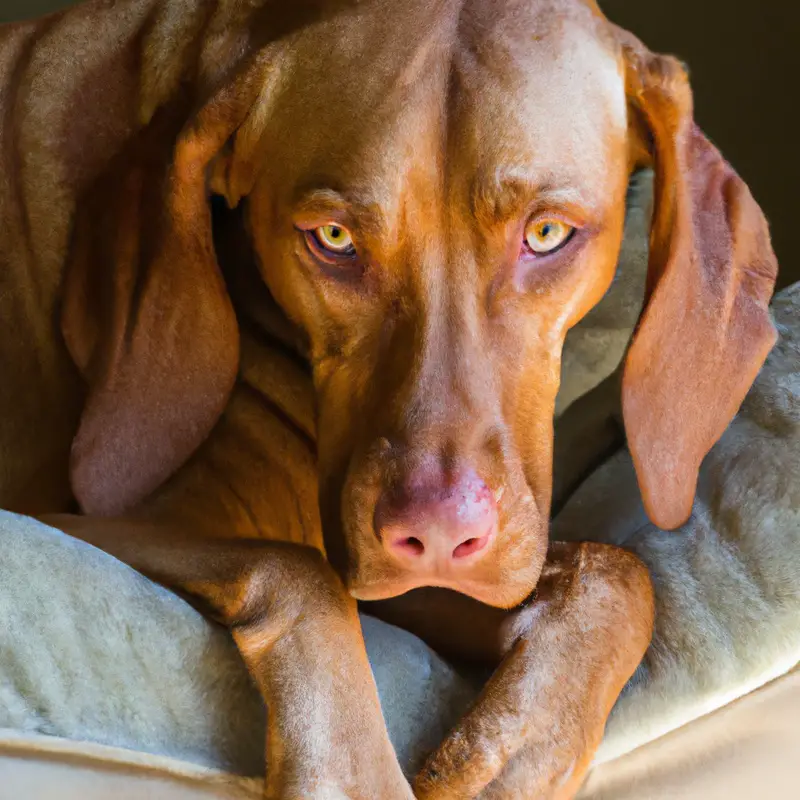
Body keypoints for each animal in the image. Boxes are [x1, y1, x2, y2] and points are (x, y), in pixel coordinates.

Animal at [0, 0, 776, 796]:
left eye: (546, 233)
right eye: (334, 237)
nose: (435, 534)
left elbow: (618, 569)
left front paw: (517, 750)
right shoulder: (80, 521)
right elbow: (300, 569)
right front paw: (349, 775)